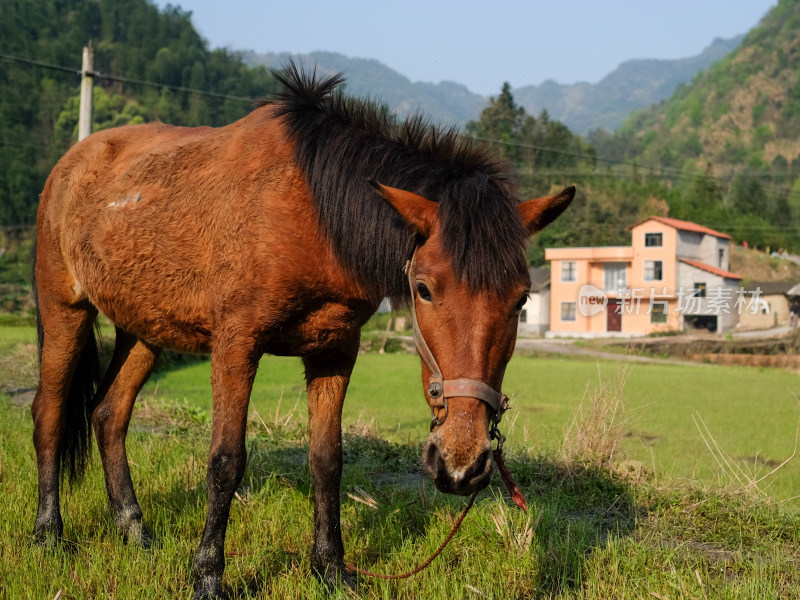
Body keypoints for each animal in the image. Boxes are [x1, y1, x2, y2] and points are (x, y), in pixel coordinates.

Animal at [29, 63, 568, 596]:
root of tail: (70, 164)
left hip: (144, 329)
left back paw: (135, 531)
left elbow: (327, 461)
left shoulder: (334, 351)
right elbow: (225, 461)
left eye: (521, 299)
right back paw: (49, 534)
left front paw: (329, 568)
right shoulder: (236, 344)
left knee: (108, 415)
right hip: (65, 310)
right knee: (49, 415)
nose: (460, 463)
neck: (313, 212)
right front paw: (208, 576)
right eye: (423, 289)